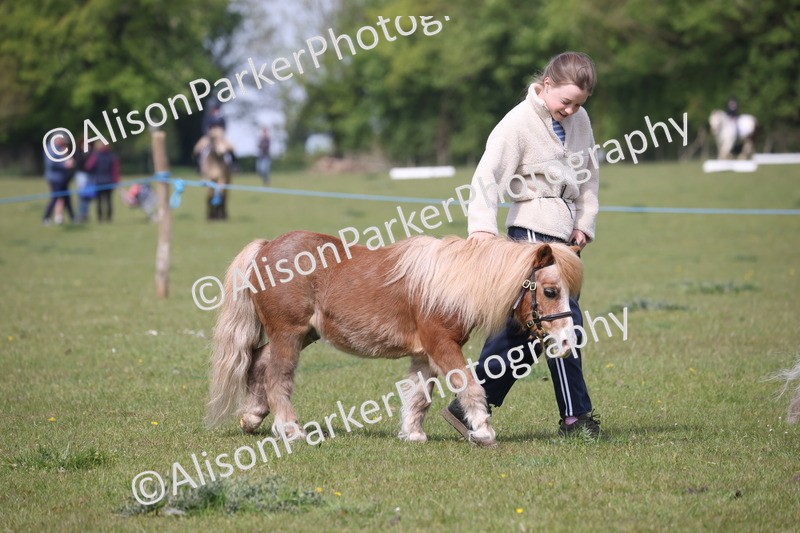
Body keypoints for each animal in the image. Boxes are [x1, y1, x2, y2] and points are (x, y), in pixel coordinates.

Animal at [206, 231, 583, 447]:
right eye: (550, 291)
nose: (567, 343)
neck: (450, 283)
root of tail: (266, 247)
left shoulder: (425, 353)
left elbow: (418, 395)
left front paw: (413, 434)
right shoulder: (442, 345)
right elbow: (469, 386)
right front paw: (484, 432)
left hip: (301, 335)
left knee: (259, 363)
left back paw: (253, 418)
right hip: (288, 333)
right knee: (277, 379)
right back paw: (291, 430)